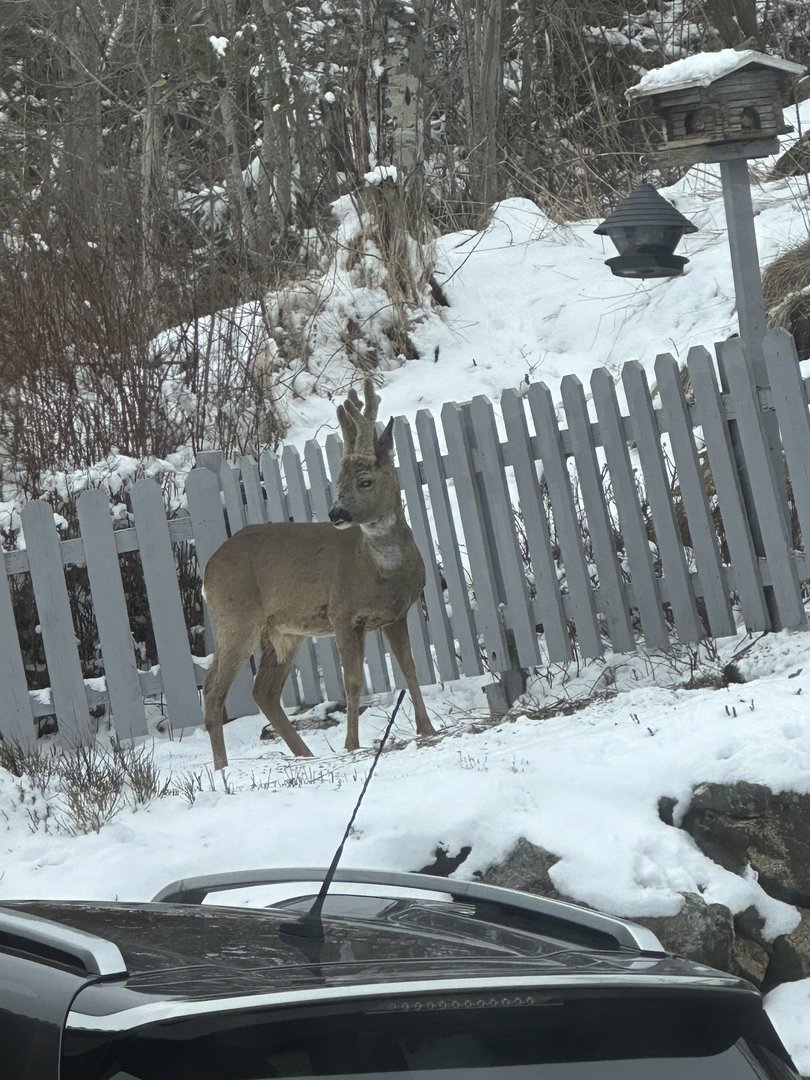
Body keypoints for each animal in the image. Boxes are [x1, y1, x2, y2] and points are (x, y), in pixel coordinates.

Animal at [202, 378, 437, 770]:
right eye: (338, 480)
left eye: (365, 481)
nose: (336, 513)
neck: (379, 571)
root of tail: (206, 570)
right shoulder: (342, 612)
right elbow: (353, 680)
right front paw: (352, 744)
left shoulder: (396, 614)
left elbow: (410, 669)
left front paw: (428, 729)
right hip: (236, 615)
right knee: (214, 689)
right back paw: (222, 767)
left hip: (280, 631)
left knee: (262, 690)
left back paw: (304, 754)